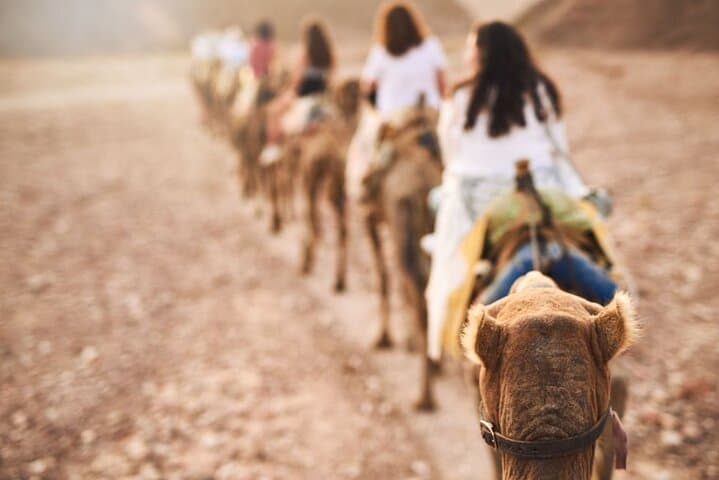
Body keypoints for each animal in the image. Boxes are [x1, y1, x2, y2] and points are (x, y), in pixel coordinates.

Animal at [361, 99, 442, 410]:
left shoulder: (370, 219)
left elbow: (383, 278)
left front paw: (383, 339)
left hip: (400, 223)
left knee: (415, 289)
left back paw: (424, 397)